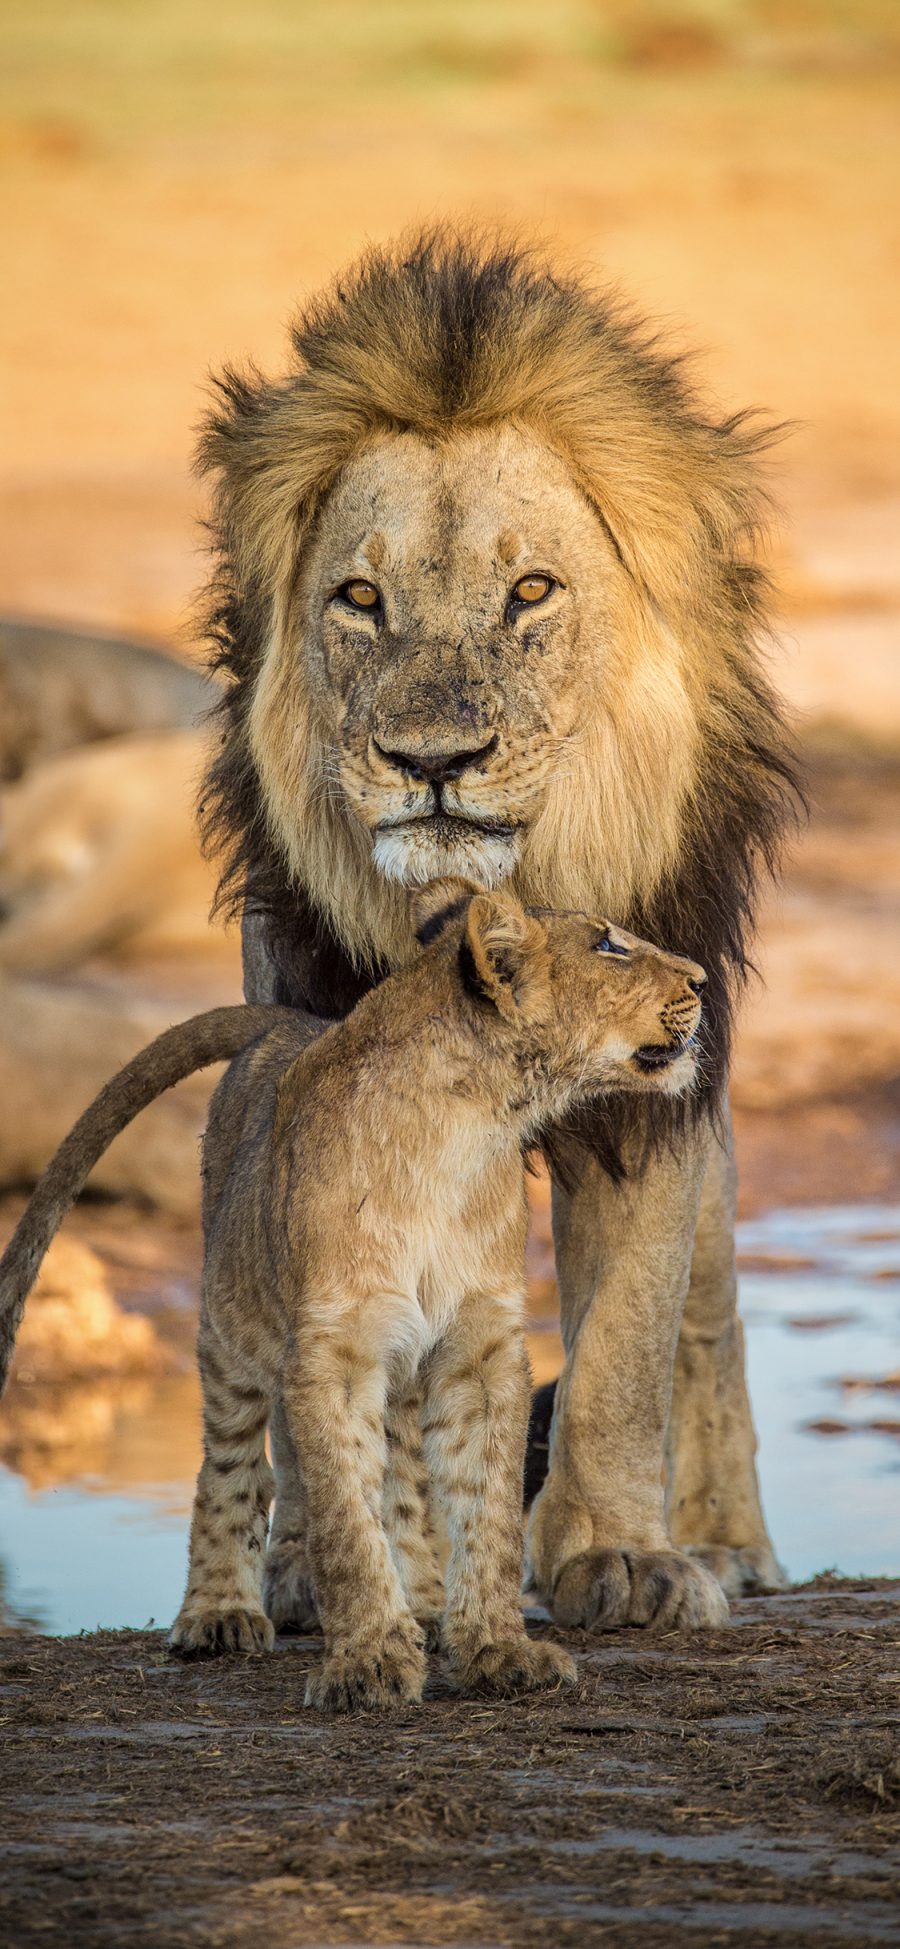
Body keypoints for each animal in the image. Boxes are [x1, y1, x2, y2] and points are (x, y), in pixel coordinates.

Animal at [198, 228, 802, 1629]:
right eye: (359, 598)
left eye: (531, 590)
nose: (432, 760)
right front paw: (322, 1561)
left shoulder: (653, 1081)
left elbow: (628, 1335)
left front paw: (619, 1554)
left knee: (711, 1309)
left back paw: (729, 1537)